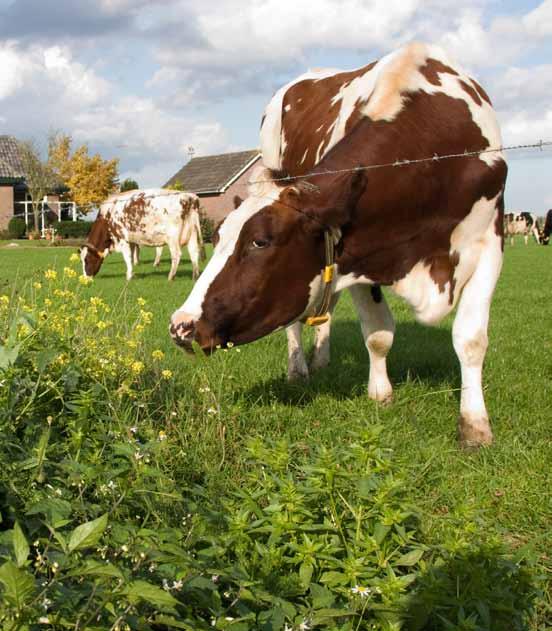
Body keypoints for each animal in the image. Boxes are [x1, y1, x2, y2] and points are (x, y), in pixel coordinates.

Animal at [169, 43, 508, 450]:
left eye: (260, 240)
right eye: (217, 238)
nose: (181, 325)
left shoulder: (490, 240)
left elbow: (470, 339)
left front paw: (475, 426)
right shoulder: (357, 257)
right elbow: (378, 333)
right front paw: (380, 394)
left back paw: (320, 359)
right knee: (297, 322)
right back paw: (299, 368)